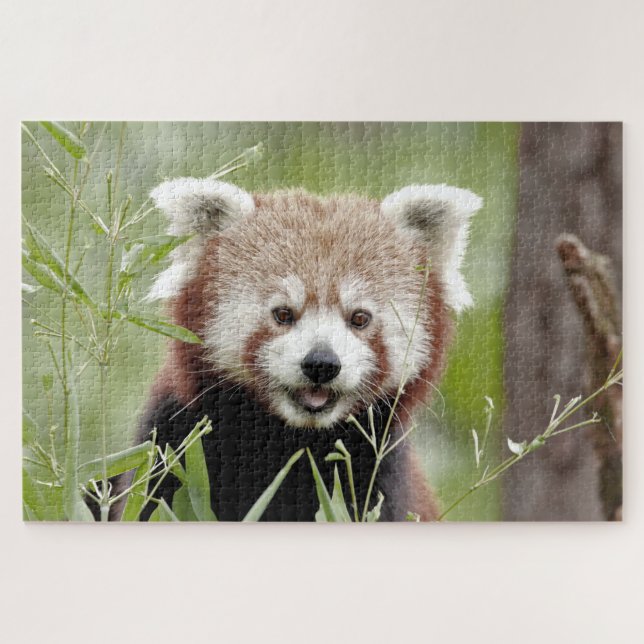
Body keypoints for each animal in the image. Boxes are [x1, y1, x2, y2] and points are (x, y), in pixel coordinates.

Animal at [112, 179, 482, 521]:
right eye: (283, 314)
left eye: (359, 318)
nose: (321, 363)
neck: (291, 442)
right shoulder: (175, 445)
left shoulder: (378, 475)